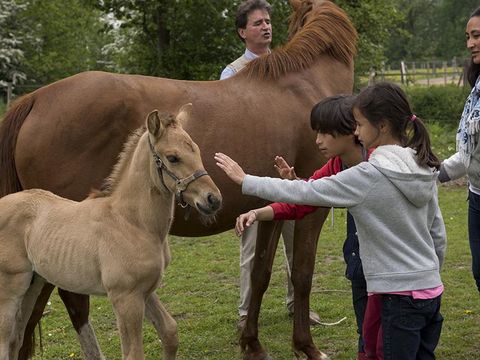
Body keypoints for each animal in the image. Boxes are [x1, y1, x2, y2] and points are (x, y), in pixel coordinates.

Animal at [0, 105, 223, 360]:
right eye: (173, 157)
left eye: (196, 150)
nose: (213, 199)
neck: (132, 222)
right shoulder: (125, 296)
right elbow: (134, 353)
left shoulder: (145, 290)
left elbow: (170, 332)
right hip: (10, 287)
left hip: (33, 283)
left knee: (16, 339)